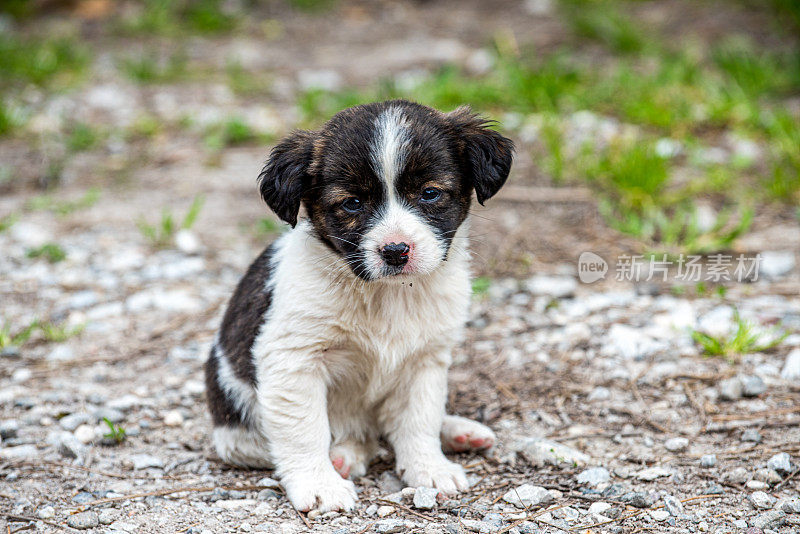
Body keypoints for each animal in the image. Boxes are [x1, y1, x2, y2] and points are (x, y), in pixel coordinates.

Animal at [205, 98, 512, 512]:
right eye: (352, 203)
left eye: (429, 193)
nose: (396, 250)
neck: (386, 294)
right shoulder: (292, 358)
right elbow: (304, 430)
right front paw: (320, 483)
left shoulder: (424, 359)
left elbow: (419, 417)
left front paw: (428, 467)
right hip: (234, 421)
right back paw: (344, 456)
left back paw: (458, 432)